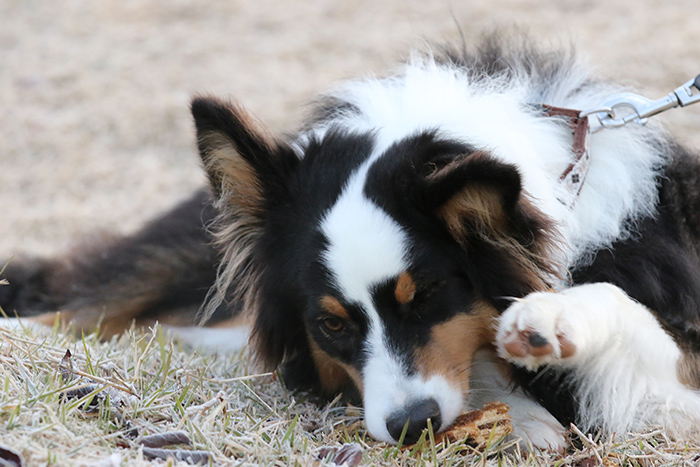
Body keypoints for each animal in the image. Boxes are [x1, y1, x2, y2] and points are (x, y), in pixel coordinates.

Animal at [4, 33, 700, 450]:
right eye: (332, 325)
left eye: (429, 297)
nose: (411, 427)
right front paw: (524, 411)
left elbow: (620, 307)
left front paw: (550, 320)